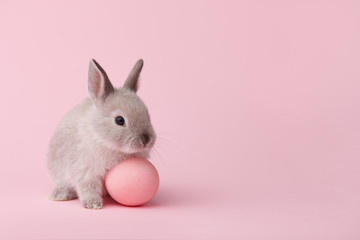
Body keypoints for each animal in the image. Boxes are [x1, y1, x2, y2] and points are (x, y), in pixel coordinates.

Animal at [46, 59, 156, 209]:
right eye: (119, 120)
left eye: (148, 115)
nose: (146, 140)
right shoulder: (86, 172)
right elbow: (88, 188)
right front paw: (93, 204)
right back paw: (60, 195)